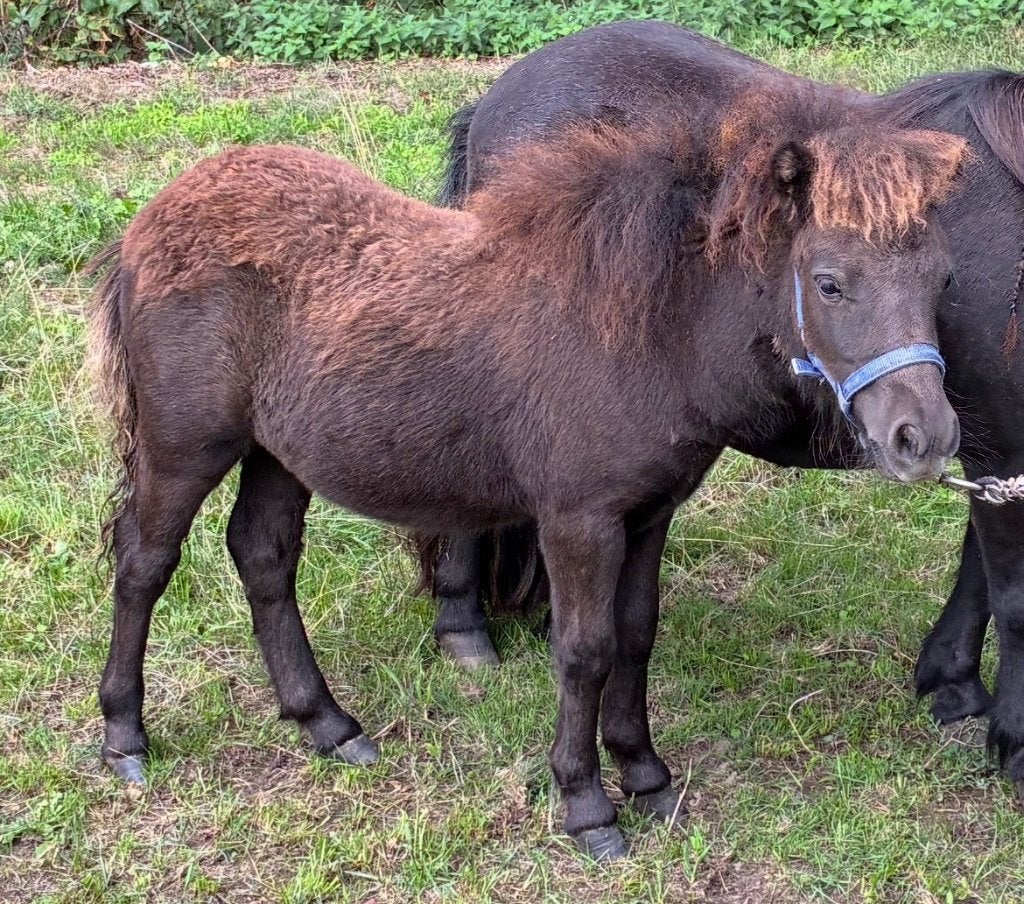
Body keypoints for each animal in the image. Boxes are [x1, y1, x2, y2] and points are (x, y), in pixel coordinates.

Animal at [88, 104, 965, 858]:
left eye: (943, 281)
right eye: (829, 281)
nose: (923, 438)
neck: (646, 325)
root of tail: (146, 223)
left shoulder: (650, 514)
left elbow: (636, 635)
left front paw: (647, 776)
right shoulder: (578, 519)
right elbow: (583, 650)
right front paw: (587, 806)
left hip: (278, 453)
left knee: (263, 556)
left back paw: (328, 726)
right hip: (186, 447)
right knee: (144, 563)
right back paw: (125, 737)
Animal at [417, 20, 1024, 796]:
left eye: (945, 280)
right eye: (829, 284)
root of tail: (495, 100)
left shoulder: (987, 459)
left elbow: (976, 571)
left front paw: (953, 686)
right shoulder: (997, 447)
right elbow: (1011, 596)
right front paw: (1013, 739)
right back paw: (463, 627)